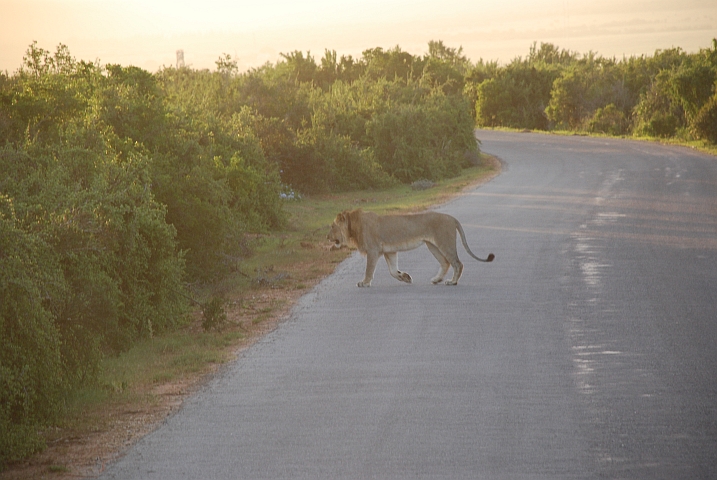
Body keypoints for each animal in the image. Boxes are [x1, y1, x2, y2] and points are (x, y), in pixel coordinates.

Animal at [328, 208, 492, 286]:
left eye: (332, 226)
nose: (327, 237)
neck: (354, 226)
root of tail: (452, 218)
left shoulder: (373, 250)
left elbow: (369, 269)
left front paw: (364, 282)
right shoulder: (390, 251)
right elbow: (393, 270)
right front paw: (405, 277)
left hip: (445, 243)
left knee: (457, 263)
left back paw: (452, 282)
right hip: (433, 245)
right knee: (445, 263)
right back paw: (437, 279)